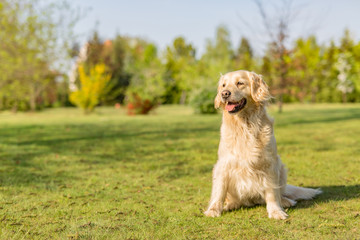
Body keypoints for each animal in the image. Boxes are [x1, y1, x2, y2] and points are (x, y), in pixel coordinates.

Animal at [204, 70, 322, 219]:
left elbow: (271, 191)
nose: (224, 94)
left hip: (281, 168)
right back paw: (231, 204)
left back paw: (285, 201)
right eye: (223, 85)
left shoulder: (270, 162)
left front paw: (276, 211)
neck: (245, 124)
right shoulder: (223, 164)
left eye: (240, 83)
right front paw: (213, 210)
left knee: (278, 193)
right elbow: (219, 191)